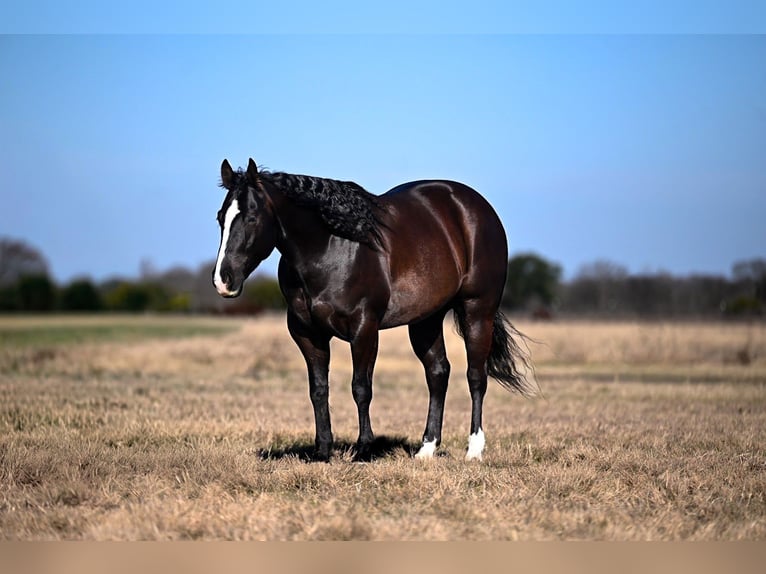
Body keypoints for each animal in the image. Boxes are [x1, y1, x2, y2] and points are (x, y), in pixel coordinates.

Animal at [213, 158, 536, 462]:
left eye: (251, 217)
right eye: (220, 218)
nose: (223, 280)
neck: (330, 250)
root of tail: (475, 206)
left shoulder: (364, 329)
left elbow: (361, 388)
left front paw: (364, 449)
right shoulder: (308, 334)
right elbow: (318, 389)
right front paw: (323, 450)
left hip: (477, 310)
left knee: (476, 376)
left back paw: (474, 450)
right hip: (426, 320)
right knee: (438, 373)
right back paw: (426, 449)